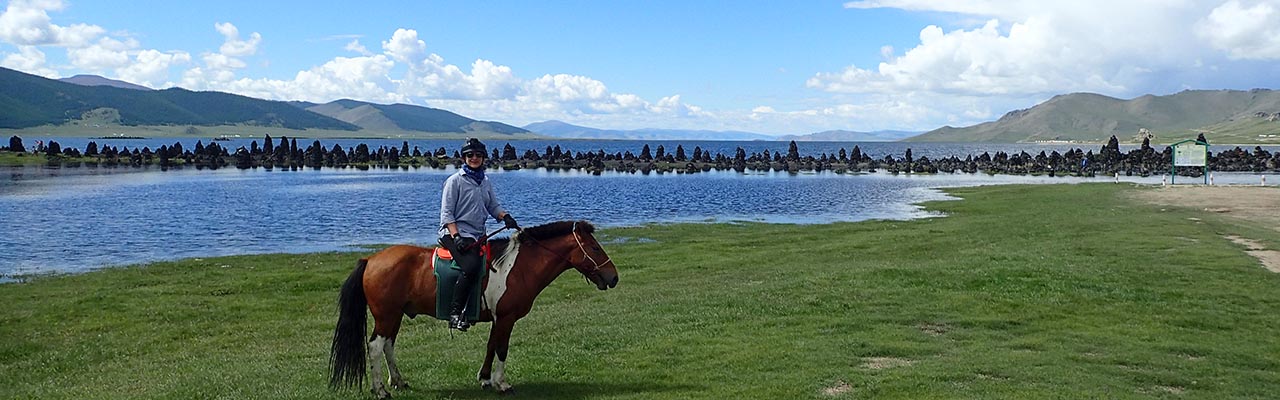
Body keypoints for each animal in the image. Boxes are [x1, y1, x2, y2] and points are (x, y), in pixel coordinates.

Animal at [325, 220, 614, 397]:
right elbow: (501, 348)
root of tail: (370, 259)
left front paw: (485, 379)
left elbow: (490, 346)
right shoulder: (506, 318)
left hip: (394, 316)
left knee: (387, 346)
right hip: (386, 316)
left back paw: (397, 381)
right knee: (375, 347)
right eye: (594, 248)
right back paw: (380, 390)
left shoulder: (498, 318)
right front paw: (501, 383)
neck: (517, 267)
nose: (613, 277)